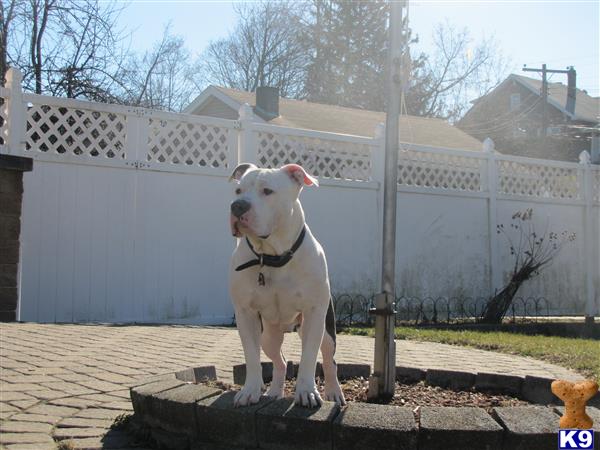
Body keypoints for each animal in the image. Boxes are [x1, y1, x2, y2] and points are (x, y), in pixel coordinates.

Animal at [227, 163, 344, 408]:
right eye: (238, 191)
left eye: (267, 191)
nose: (237, 206)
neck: (272, 256)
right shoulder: (246, 314)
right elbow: (251, 357)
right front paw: (250, 391)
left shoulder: (314, 313)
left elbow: (309, 357)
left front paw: (307, 391)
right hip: (268, 336)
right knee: (279, 361)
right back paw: (274, 392)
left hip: (327, 331)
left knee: (329, 360)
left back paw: (333, 392)